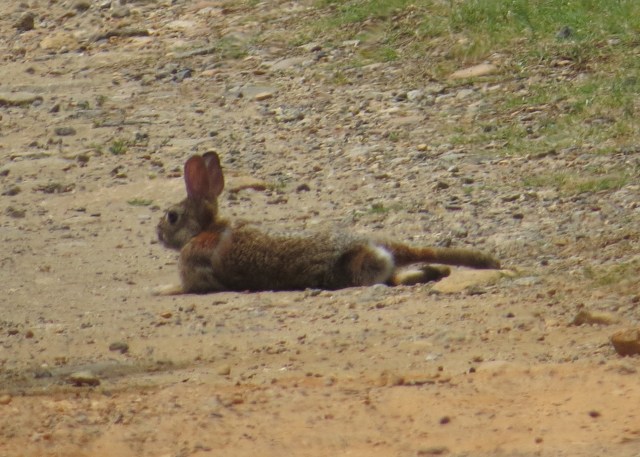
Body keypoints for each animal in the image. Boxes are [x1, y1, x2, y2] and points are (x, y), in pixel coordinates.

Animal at [156, 152, 500, 294]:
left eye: (172, 216)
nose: (158, 233)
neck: (205, 230)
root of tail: (374, 245)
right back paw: (437, 271)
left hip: (359, 270)